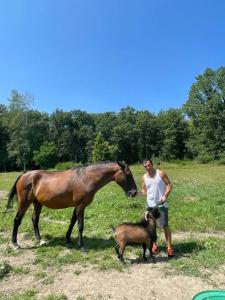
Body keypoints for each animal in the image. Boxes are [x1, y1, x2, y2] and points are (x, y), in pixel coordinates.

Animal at [6, 162, 137, 251]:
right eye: (128, 174)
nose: (134, 192)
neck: (85, 178)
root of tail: (25, 175)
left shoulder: (77, 206)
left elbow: (72, 221)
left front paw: (68, 239)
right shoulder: (81, 206)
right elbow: (80, 225)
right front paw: (82, 246)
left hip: (37, 203)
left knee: (35, 219)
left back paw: (39, 240)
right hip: (24, 203)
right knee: (17, 220)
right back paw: (15, 244)